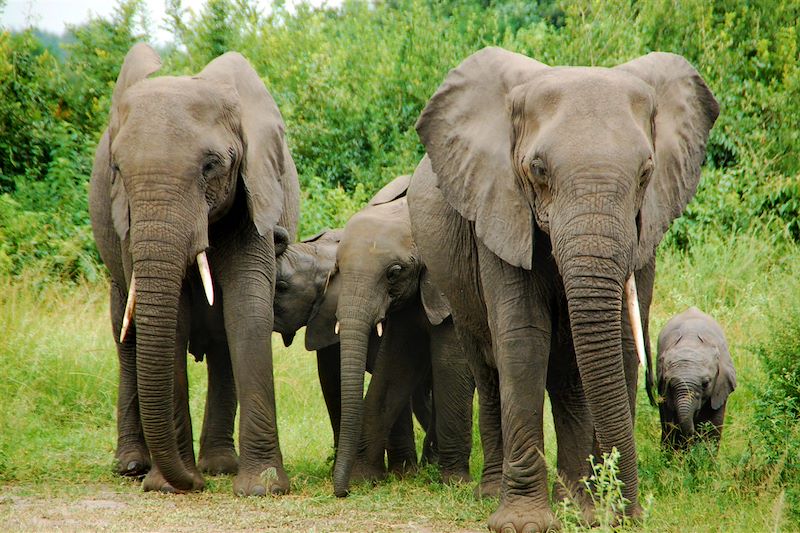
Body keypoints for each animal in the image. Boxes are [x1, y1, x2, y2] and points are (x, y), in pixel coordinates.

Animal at [88, 43, 300, 496]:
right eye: (116, 170)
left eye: (211, 166)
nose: (191, 485)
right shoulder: (127, 219)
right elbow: (173, 322)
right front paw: (166, 485)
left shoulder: (253, 188)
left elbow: (247, 311)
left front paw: (262, 489)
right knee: (125, 332)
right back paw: (133, 465)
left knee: (221, 342)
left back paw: (218, 466)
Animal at [332, 182, 476, 494]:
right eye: (336, 268)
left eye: (394, 273)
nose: (342, 492)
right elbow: (395, 368)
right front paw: (363, 477)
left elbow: (452, 367)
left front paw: (455, 483)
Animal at [406, 47, 720, 528]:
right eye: (537, 170)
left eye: (646, 173)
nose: (630, 514)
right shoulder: (500, 208)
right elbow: (522, 338)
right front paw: (522, 524)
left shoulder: (647, 229)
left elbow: (611, 345)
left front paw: (595, 515)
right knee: (488, 368)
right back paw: (490, 493)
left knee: (568, 378)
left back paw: (573, 501)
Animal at [656, 306, 736, 446]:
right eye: (669, 384)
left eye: (706, 384)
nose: (692, 434)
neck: (691, 341)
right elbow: (670, 425)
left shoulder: (720, 387)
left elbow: (713, 426)